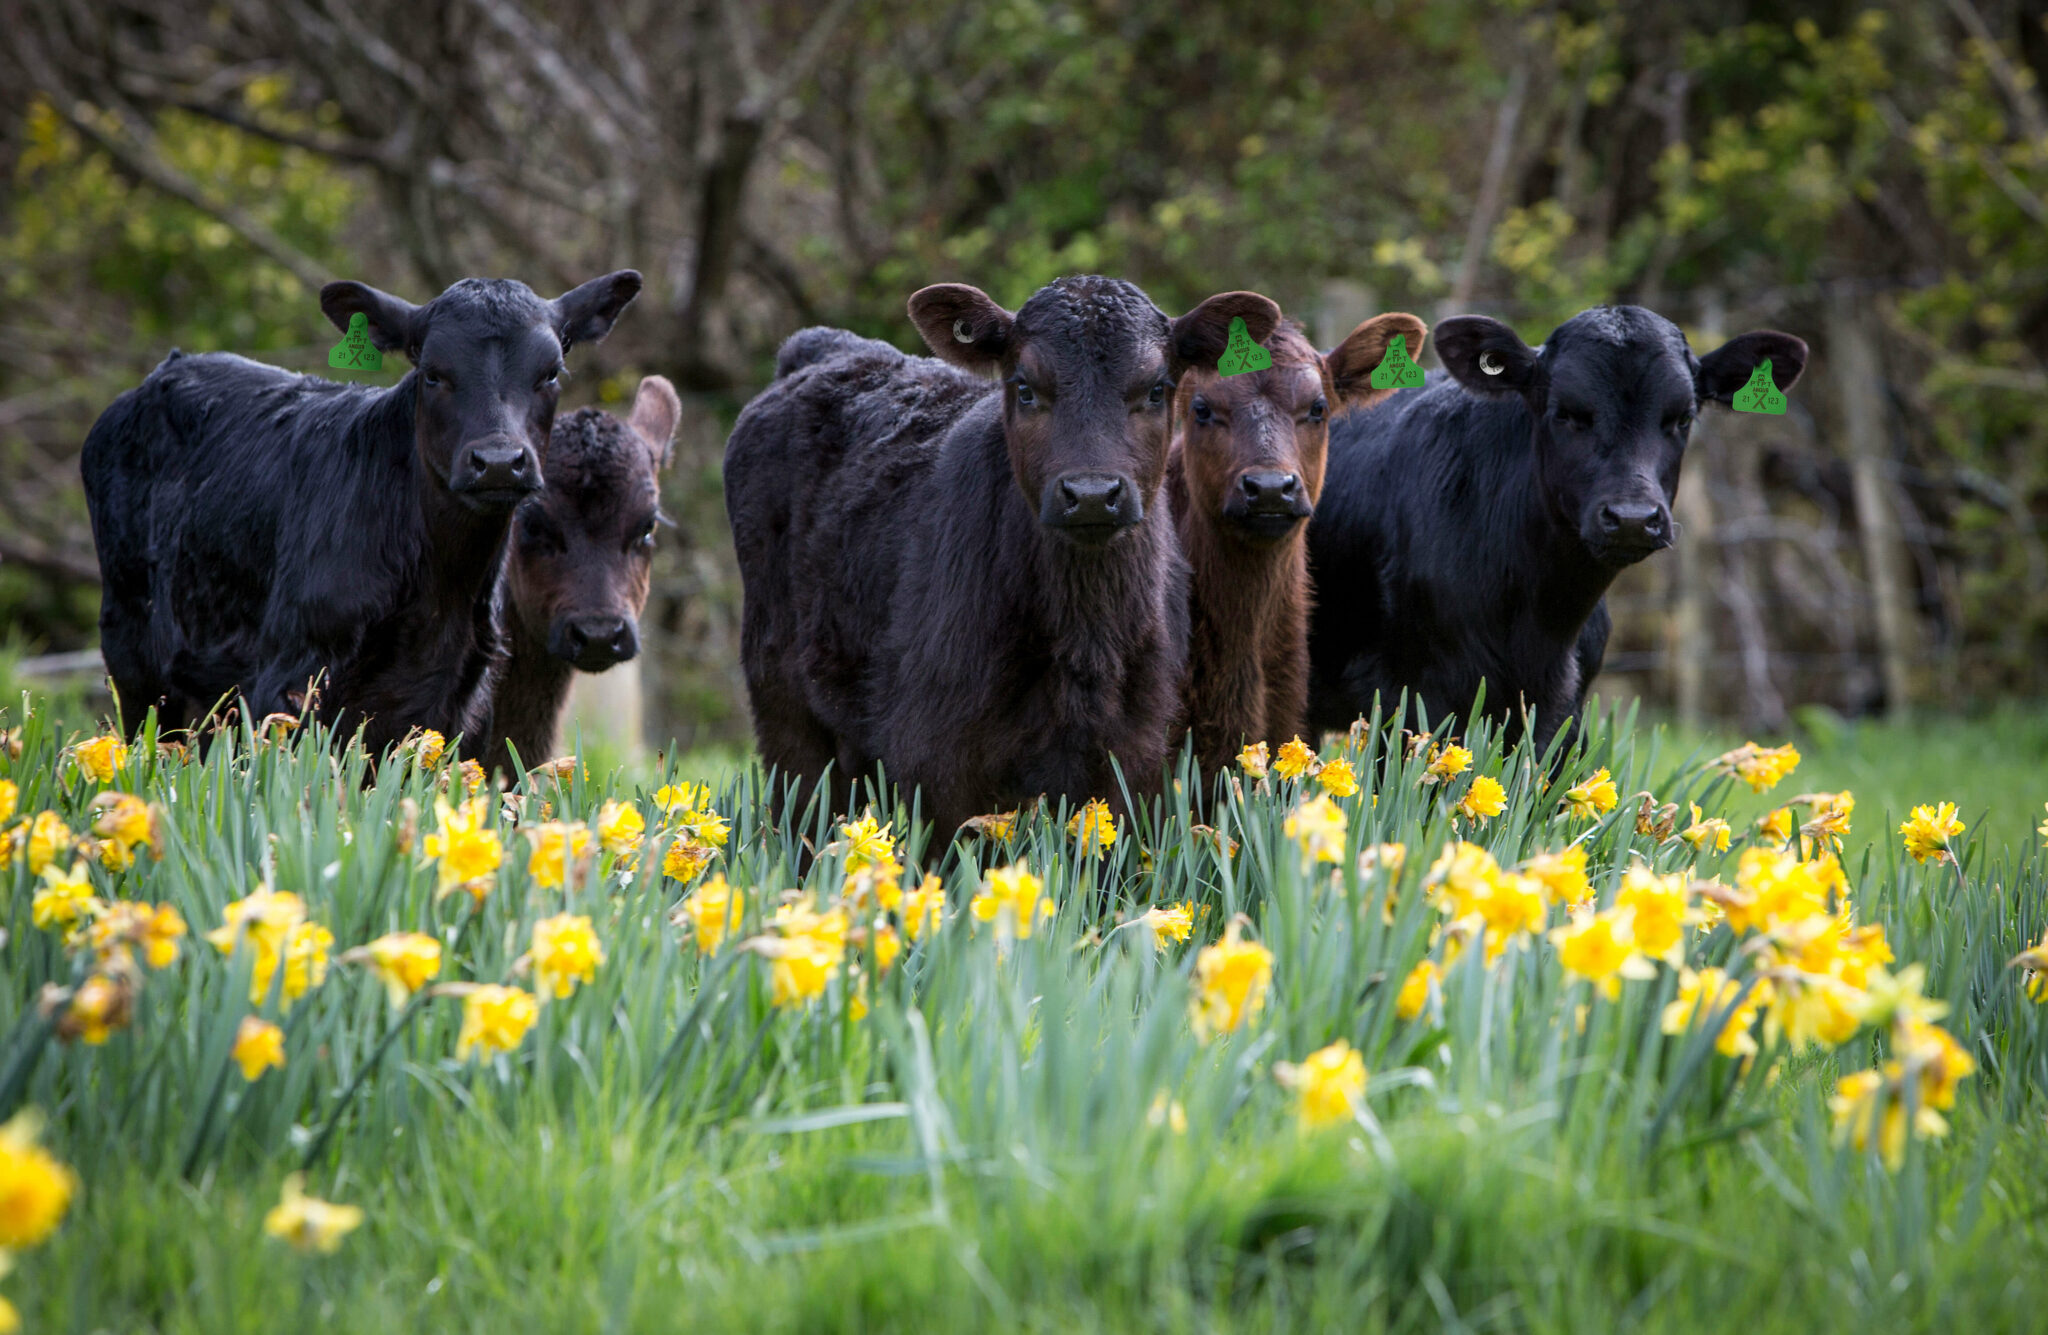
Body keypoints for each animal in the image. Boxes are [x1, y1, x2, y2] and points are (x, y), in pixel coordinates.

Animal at [80, 270, 643, 755]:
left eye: (550, 373)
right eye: (432, 373)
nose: (499, 462)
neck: (437, 591)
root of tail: (169, 367)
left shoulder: (456, 703)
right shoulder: (289, 682)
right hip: (134, 657)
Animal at [725, 275, 1280, 835]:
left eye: (1157, 389)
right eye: (1025, 388)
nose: (1092, 493)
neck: (1085, 639)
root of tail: (830, 349)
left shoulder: (1134, 753)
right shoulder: (935, 757)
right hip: (784, 705)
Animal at [1305, 305, 1807, 751]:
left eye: (1683, 417)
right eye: (1565, 412)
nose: (1631, 518)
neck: (1538, 621)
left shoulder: (1564, 716)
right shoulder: (1409, 701)